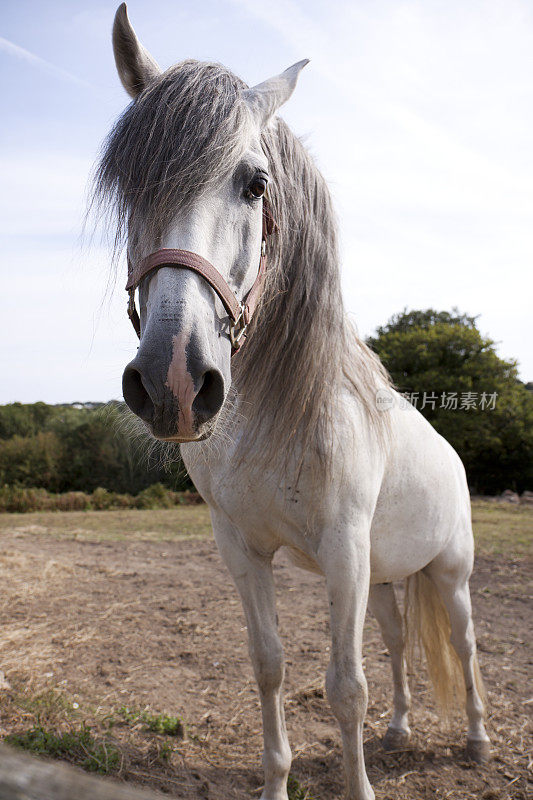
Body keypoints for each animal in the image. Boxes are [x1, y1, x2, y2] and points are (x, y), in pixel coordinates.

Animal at [96, 7, 490, 800]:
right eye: (129, 183)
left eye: (255, 184)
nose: (173, 381)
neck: (278, 415)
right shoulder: (243, 550)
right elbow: (270, 667)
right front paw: (277, 779)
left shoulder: (343, 550)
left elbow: (344, 687)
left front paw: (359, 786)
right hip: (389, 576)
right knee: (397, 643)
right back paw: (400, 731)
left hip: (448, 573)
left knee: (463, 647)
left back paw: (475, 739)